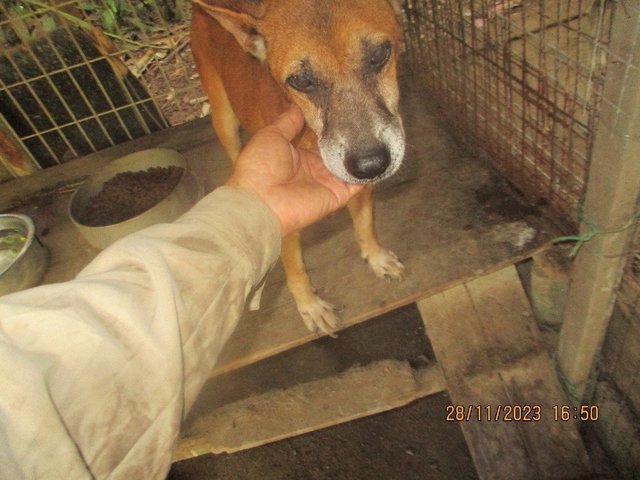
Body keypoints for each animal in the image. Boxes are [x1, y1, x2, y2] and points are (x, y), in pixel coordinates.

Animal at [190, 0, 404, 336]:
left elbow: (365, 225)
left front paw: (376, 257)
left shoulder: (360, 187)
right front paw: (310, 306)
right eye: (301, 81)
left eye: (380, 54)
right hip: (223, 116)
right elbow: (295, 268)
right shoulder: (285, 224)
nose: (371, 164)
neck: (310, 136)